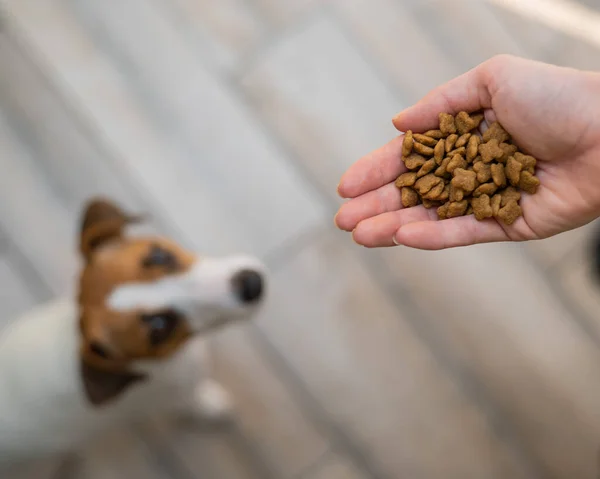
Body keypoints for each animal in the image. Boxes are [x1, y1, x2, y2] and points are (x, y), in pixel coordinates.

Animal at [0, 198, 268, 468]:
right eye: (160, 327)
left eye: (159, 256)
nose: (252, 284)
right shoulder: (176, 394)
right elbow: (195, 402)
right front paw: (212, 406)